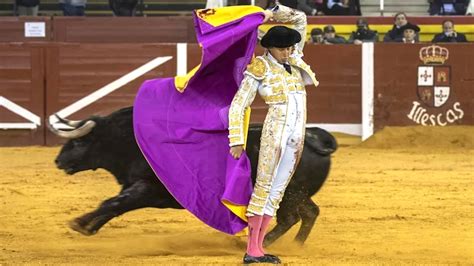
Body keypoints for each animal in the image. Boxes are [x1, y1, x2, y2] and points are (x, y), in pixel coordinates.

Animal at [51, 106, 336, 247]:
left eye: (79, 142)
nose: (58, 161)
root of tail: (314, 137)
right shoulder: (134, 188)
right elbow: (113, 206)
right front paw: (88, 227)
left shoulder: (146, 189)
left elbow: (112, 203)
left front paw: (79, 223)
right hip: (297, 194)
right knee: (309, 213)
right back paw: (295, 245)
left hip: (285, 193)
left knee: (290, 218)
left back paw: (262, 243)